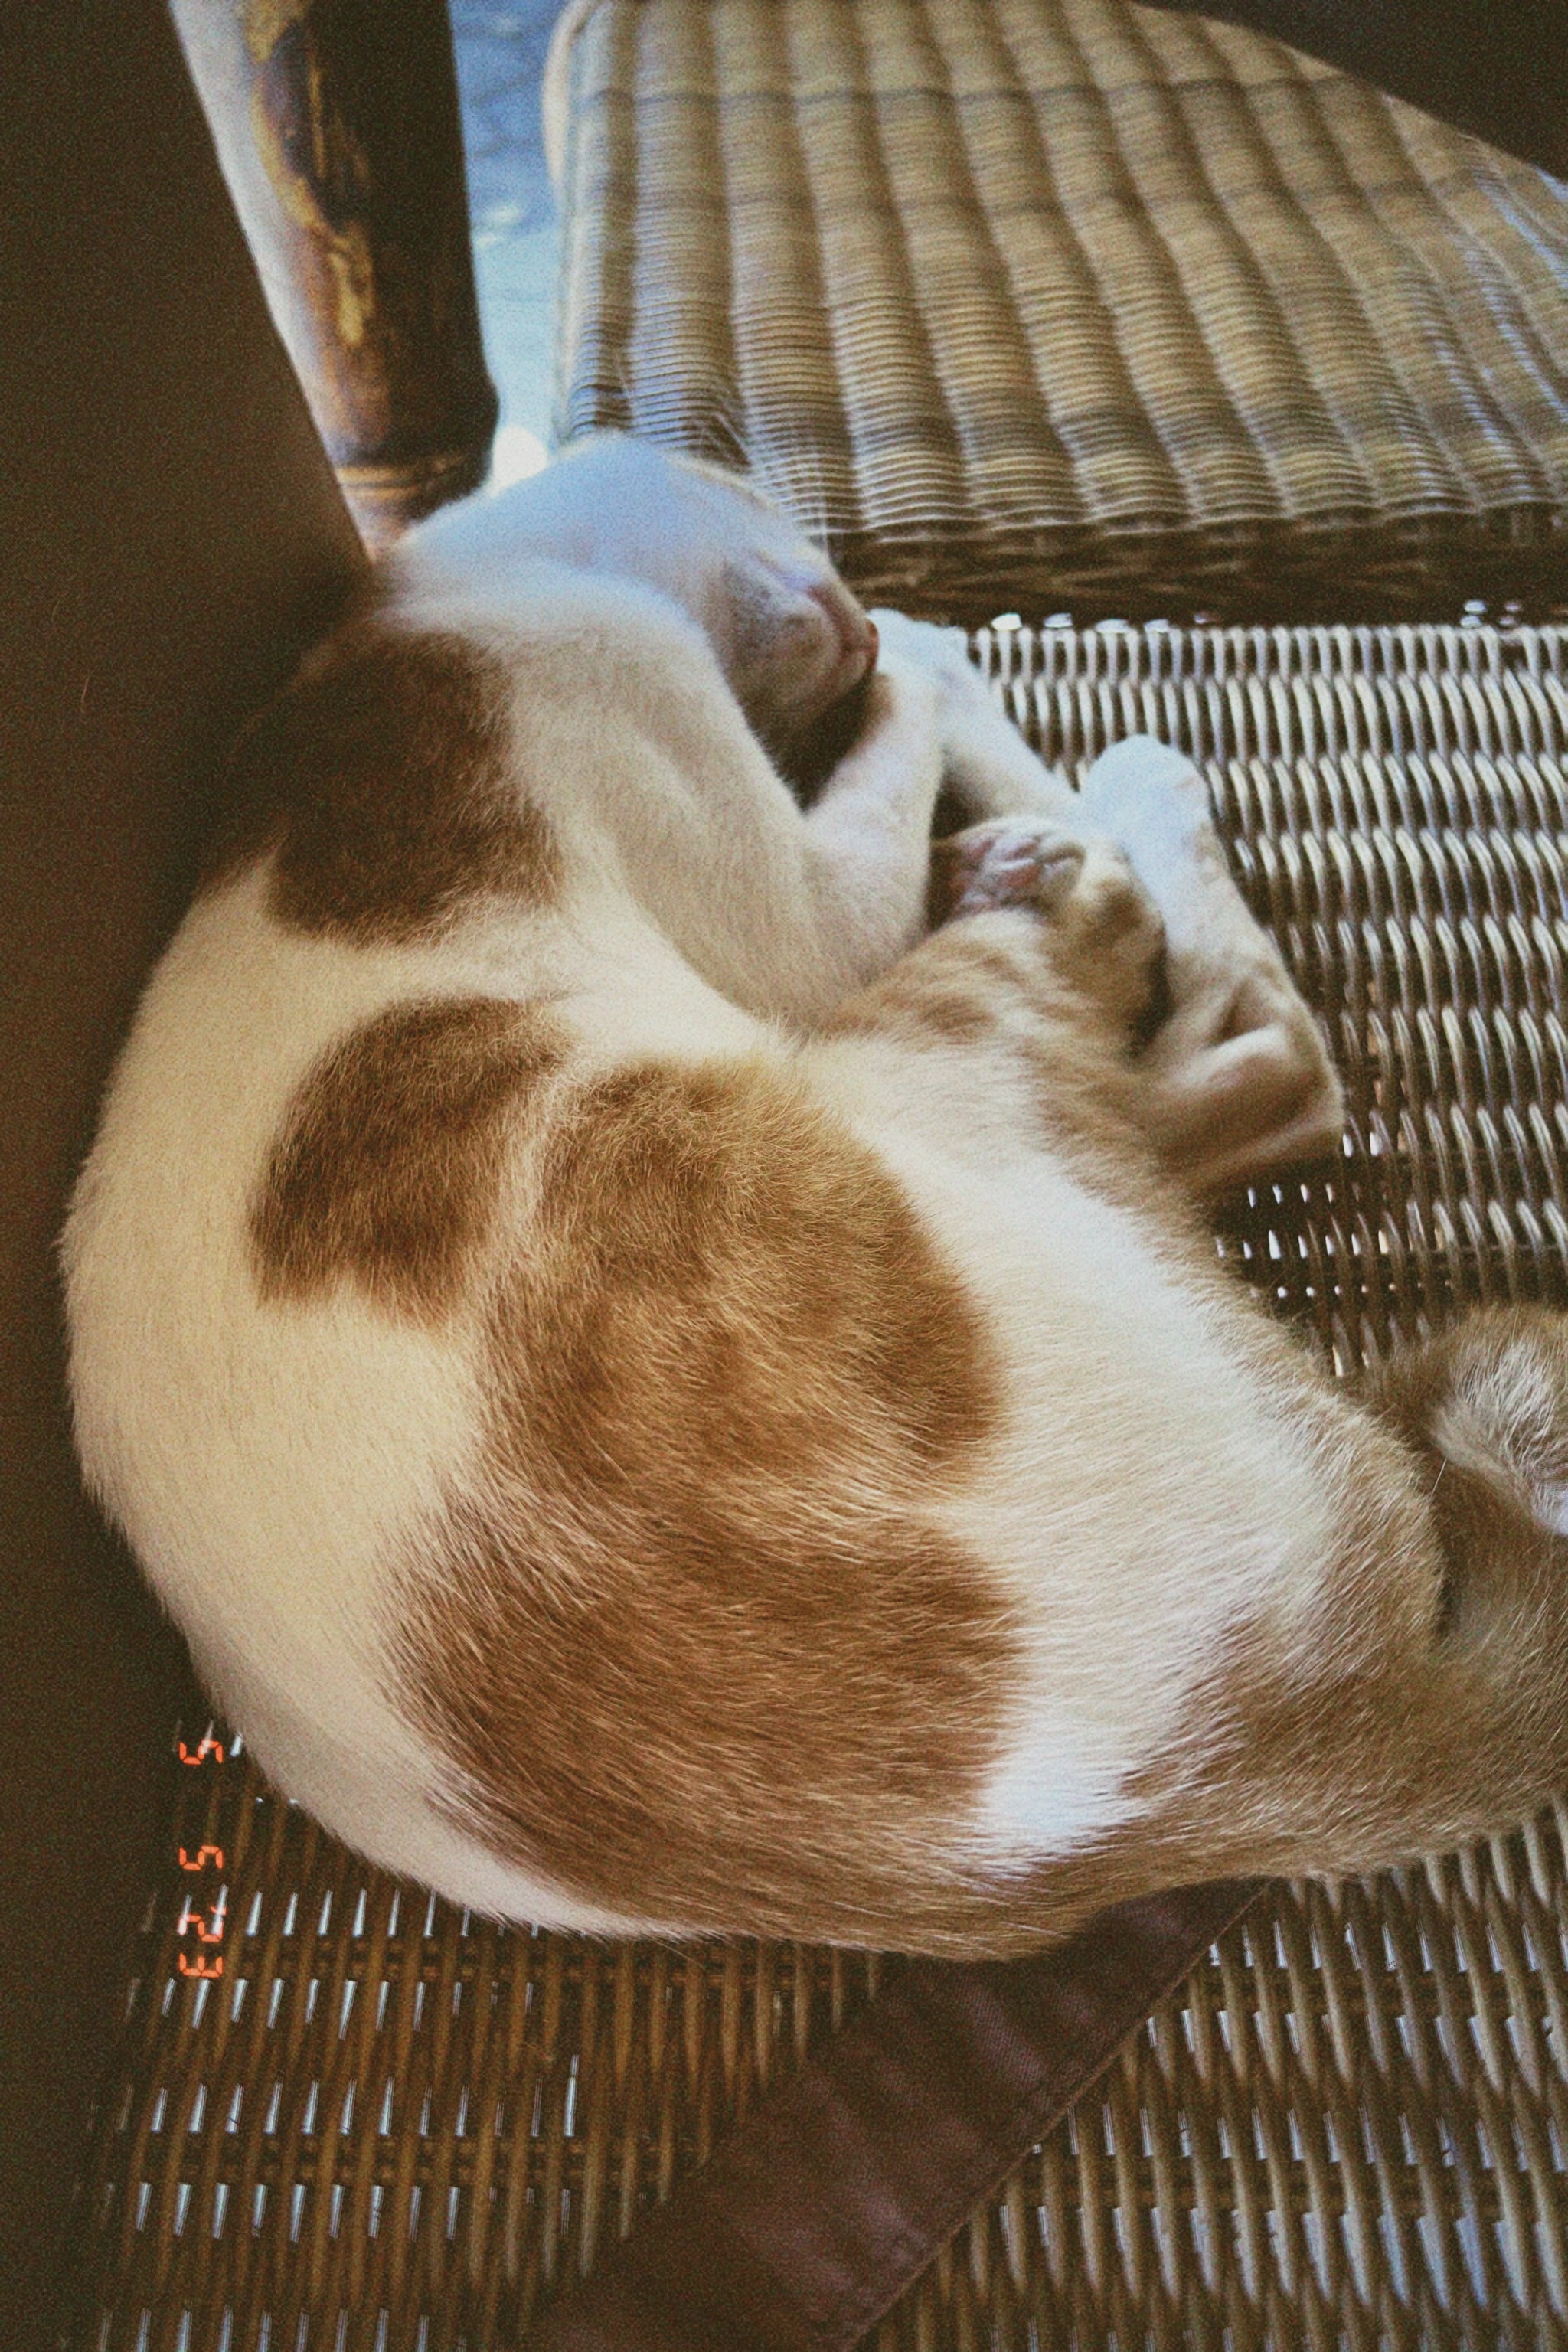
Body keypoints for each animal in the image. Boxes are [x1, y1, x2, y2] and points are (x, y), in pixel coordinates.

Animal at [62, 437, 1568, 1954]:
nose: (847, 610)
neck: (403, 620)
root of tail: (1276, 1752)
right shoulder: (786, 883)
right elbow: (925, 738)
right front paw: (935, 661)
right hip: (932, 1030)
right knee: (1255, 1042)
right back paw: (1107, 819)